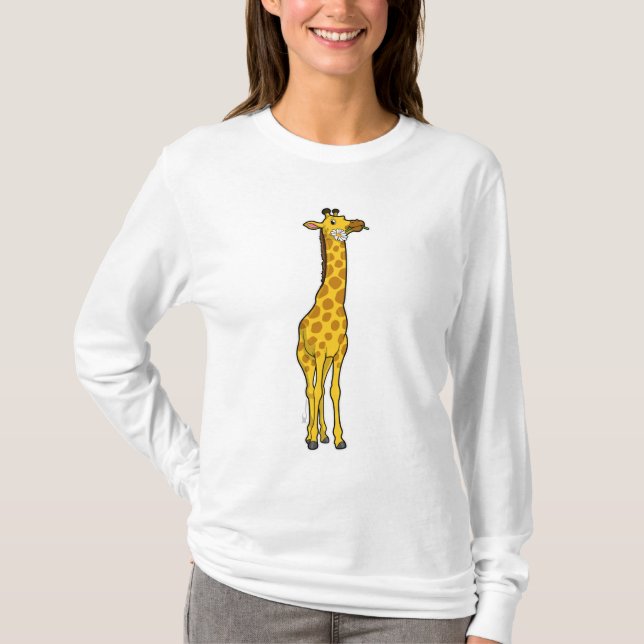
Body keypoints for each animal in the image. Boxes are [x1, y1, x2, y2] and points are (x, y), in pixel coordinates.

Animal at [296, 207, 369, 450]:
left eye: (345, 218)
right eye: (333, 221)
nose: (359, 223)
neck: (336, 305)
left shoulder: (339, 352)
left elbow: (334, 391)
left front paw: (338, 439)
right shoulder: (319, 352)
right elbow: (317, 391)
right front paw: (312, 439)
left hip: (325, 361)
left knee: (319, 387)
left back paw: (324, 435)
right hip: (305, 359)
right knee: (311, 390)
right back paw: (311, 437)